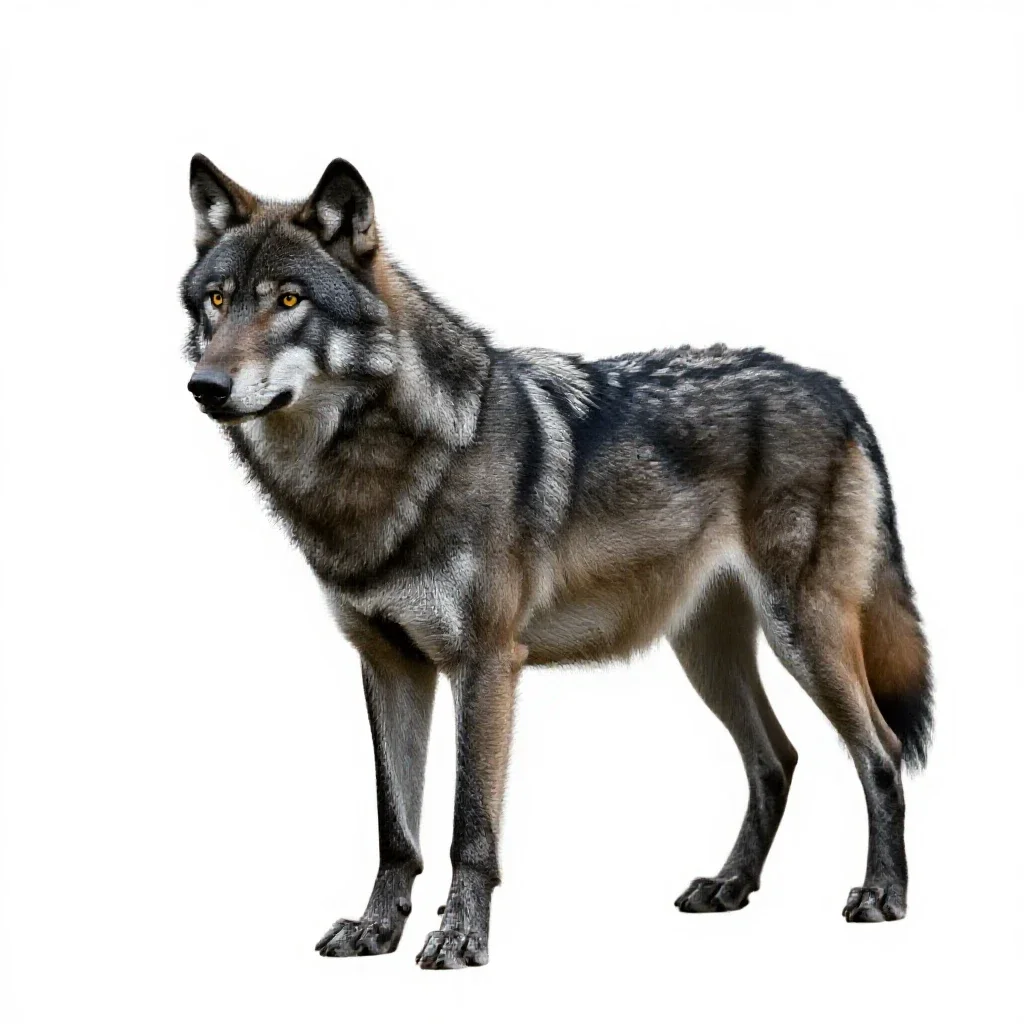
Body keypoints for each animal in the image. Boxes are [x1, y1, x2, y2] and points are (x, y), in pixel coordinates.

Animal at [181, 155, 932, 969]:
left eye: (288, 300)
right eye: (218, 301)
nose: (205, 387)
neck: (379, 470)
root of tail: (833, 390)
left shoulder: (485, 663)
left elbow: (469, 827)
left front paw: (460, 937)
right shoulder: (388, 665)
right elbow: (395, 828)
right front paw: (377, 929)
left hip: (803, 638)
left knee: (881, 752)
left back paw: (883, 895)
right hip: (707, 653)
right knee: (777, 759)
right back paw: (729, 886)